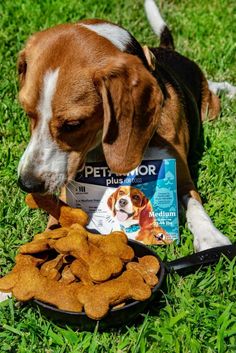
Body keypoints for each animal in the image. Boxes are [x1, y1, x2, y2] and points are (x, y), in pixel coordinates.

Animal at [16, 0, 234, 250]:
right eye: (27, 112)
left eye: (73, 124)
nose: (27, 183)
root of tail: (167, 50)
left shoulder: (180, 177)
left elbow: (195, 206)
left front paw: (211, 238)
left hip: (210, 108)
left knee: (214, 90)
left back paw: (228, 89)